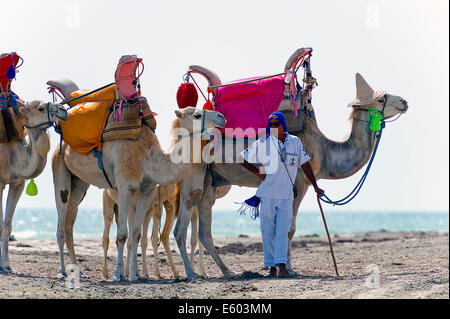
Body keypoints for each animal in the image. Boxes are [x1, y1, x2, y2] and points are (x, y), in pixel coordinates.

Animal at [0, 100, 68, 272]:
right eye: (41, 108)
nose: (64, 110)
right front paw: (2, 266)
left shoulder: (17, 183)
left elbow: (7, 225)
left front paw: (7, 266)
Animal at [51, 78, 227, 282]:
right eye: (197, 114)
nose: (221, 116)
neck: (148, 158)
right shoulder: (125, 187)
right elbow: (122, 235)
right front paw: (119, 274)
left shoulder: (147, 190)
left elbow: (135, 234)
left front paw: (135, 275)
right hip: (59, 169)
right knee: (61, 223)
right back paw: (62, 271)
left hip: (80, 182)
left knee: (69, 225)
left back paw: (79, 271)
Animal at [174, 48, 410, 278]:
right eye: (382, 98)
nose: (404, 102)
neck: (325, 148)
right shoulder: (300, 182)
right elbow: (289, 228)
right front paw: (287, 268)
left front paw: (277, 267)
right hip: (193, 175)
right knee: (183, 224)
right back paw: (191, 273)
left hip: (210, 181)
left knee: (204, 230)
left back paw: (228, 271)